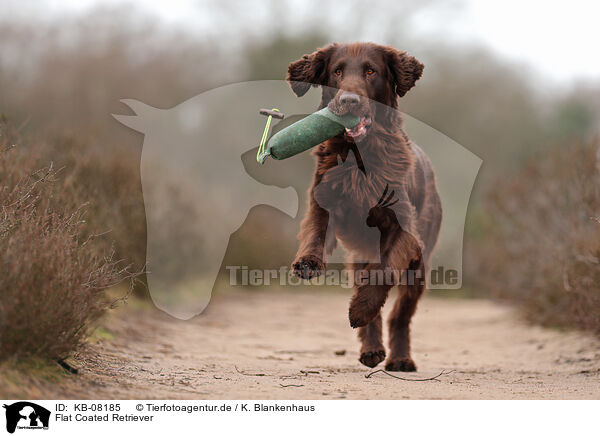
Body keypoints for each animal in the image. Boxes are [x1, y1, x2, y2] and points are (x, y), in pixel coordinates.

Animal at [286, 42, 440, 372]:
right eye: (337, 71)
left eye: (371, 71)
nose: (349, 101)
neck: (359, 155)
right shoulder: (324, 200)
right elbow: (316, 231)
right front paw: (307, 262)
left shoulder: (405, 231)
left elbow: (383, 273)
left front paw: (360, 309)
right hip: (360, 256)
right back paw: (372, 350)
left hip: (420, 264)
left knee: (400, 314)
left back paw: (400, 358)